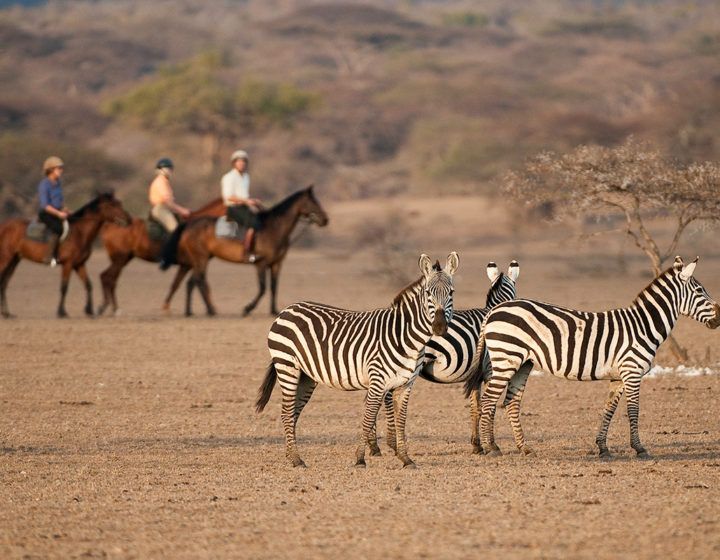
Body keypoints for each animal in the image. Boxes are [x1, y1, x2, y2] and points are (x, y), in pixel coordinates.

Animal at [256, 252, 459, 468]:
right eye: (428, 293)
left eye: (451, 293)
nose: (439, 327)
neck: (406, 337)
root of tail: (287, 309)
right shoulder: (377, 381)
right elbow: (368, 418)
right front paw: (360, 458)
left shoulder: (405, 385)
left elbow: (401, 421)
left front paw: (406, 459)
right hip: (287, 366)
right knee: (286, 412)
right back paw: (296, 459)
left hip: (306, 376)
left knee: (293, 412)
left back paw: (290, 454)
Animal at [374, 261, 519, 456]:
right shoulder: (490, 370)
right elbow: (490, 406)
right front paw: (492, 445)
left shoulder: (475, 376)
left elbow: (475, 407)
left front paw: (477, 445)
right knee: (388, 397)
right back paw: (391, 443)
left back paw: (376, 445)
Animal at [465, 256, 720, 459]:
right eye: (700, 291)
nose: (719, 318)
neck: (642, 326)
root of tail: (493, 312)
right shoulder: (632, 372)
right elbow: (633, 411)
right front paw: (639, 448)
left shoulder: (618, 376)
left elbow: (609, 410)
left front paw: (603, 448)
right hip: (506, 358)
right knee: (488, 400)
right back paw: (492, 448)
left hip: (522, 363)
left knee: (511, 402)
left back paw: (523, 448)